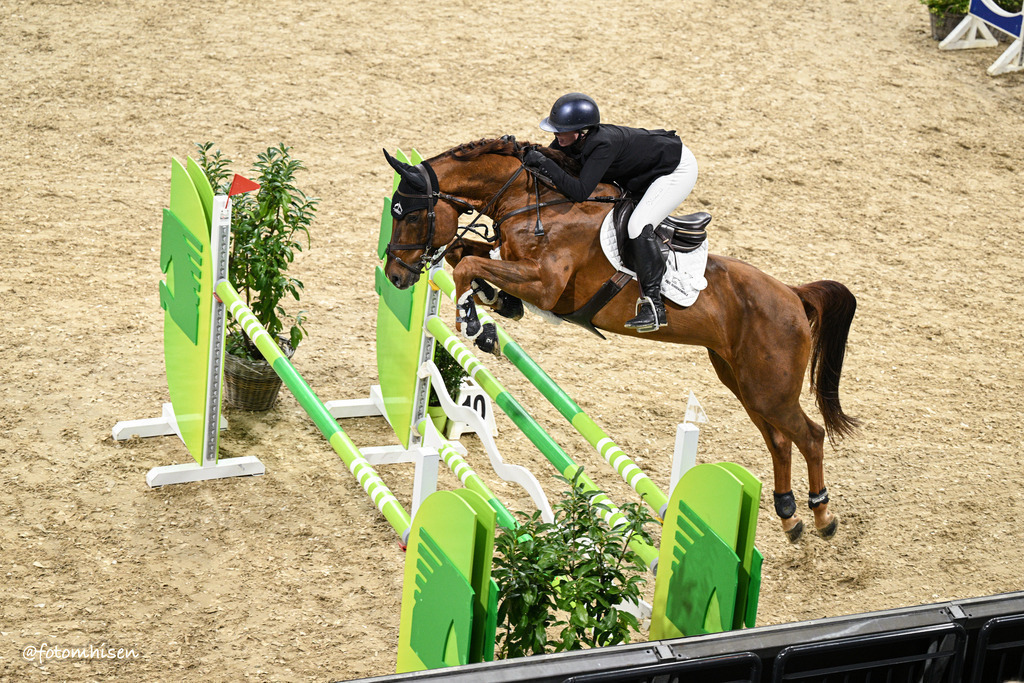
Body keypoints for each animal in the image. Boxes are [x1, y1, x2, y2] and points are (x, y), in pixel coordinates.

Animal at [381, 137, 858, 542]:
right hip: (744, 383)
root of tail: (793, 294)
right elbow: (466, 256)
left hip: (769, 389)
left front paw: (473, 321)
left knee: (810, 436)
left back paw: (822, 515)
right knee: (779, 440)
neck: (531, 201)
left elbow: (465, 266)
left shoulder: (546, 285)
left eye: (410, 213)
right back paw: (790, 516)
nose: (396, 277)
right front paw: (493, 307)